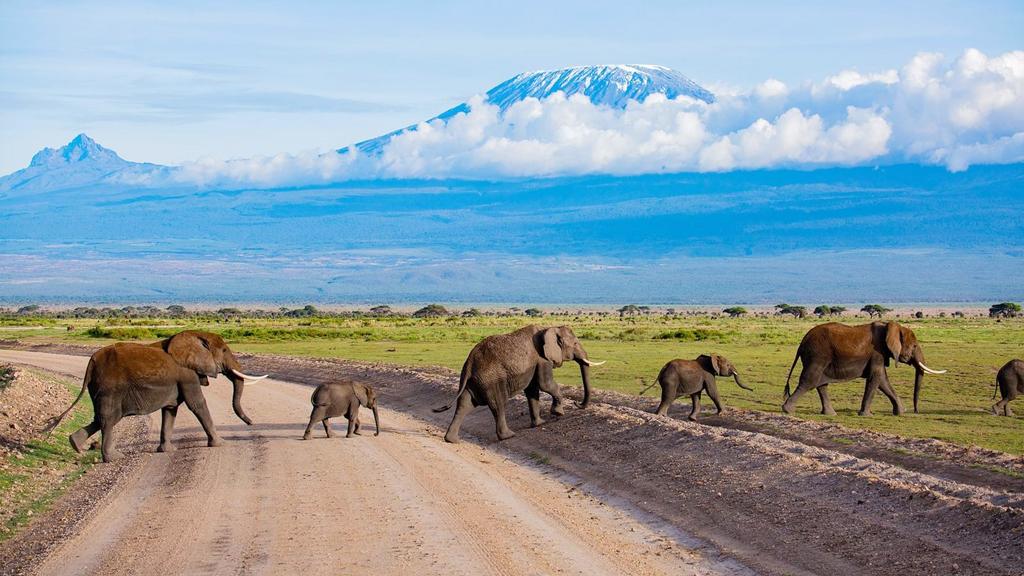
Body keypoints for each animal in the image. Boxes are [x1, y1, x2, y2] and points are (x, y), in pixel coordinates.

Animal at [48, 330, 266, 459]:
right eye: (224, 350)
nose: (251, 423)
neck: (193, 336)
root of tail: (91, 362)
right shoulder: (187, 374)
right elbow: (197, 404)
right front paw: (220, 444)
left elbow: (170, 410)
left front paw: (167, 451)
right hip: (110, 388)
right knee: (108, 419)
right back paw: (113, 458)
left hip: (99, 388)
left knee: (99, 418)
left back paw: (75, 445)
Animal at [430, 325, 598, 440]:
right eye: (575, 343)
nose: (577, 404)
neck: (549, 327)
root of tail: (470, 362)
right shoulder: (542, 359)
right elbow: (545, 384)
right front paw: (558, 413)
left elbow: (532, 391)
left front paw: (540, 423)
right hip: (491, 379)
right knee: (499, 405)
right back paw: (509, 435)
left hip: (474, 380)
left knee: (464, 404)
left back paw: (452, 440)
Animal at [782, 319, 942, 414]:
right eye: (914, 346)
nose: (916, 411)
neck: (890, 326)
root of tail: (802, 342)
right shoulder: (877, 352)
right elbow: (876, 378)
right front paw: (865, 414)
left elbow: (883, 380)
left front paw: (901, 412)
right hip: (818, 355)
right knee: (810, 381)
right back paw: (787, 410)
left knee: (821, 384)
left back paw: (830, 413)